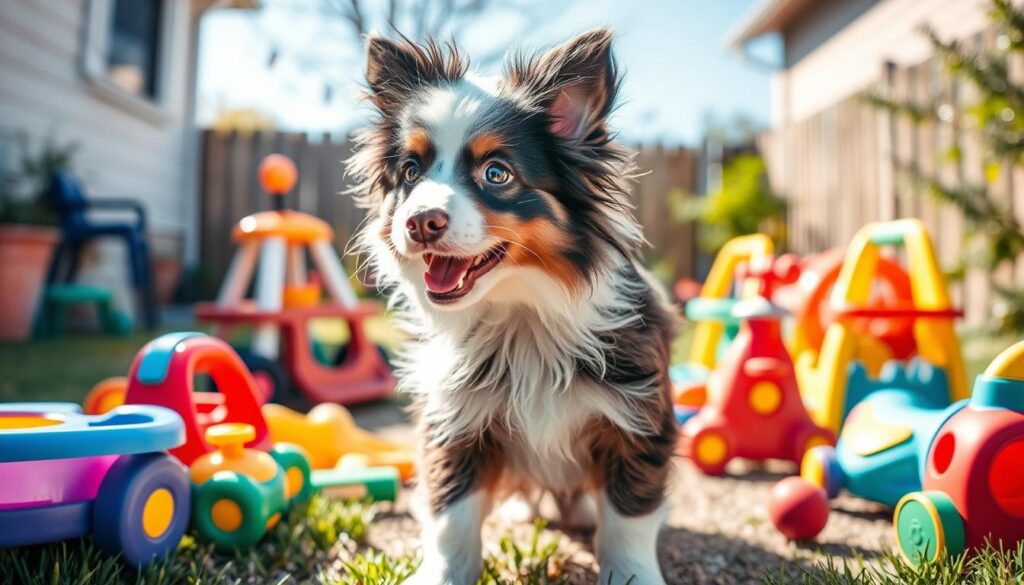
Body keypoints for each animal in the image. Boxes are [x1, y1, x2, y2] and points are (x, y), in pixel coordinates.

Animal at [352, 28, 679, 585]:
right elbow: (452, 517)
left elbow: (629, 518)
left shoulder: (637, 417)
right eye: (411, 172)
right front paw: (441, 573)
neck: (521, 311)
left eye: (497, 173)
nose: (419, 222)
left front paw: (632, 574)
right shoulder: (455, 419)